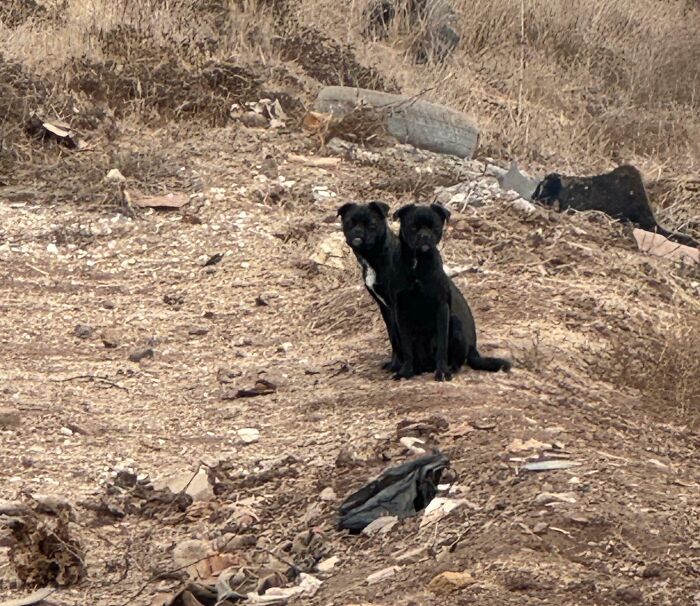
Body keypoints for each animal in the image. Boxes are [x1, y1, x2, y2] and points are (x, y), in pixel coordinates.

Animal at [338, 201, 402, 370]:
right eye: (349, 223)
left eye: (372, 225)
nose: (358, 231)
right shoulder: (385, 307)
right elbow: (393, 336)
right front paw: (394, 363)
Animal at [392, 207, 512, 382]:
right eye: (413, 227)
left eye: (434, 226)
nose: (425, 236)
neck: (417, 264)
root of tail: (472, 348)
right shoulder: (401, 312)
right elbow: (407, 348)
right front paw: (405, 371)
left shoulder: (442, 307)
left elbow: (442, 346)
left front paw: (442, 372)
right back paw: (418, 369)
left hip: (455, 323)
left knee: (457, 361)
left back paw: (449, 369)